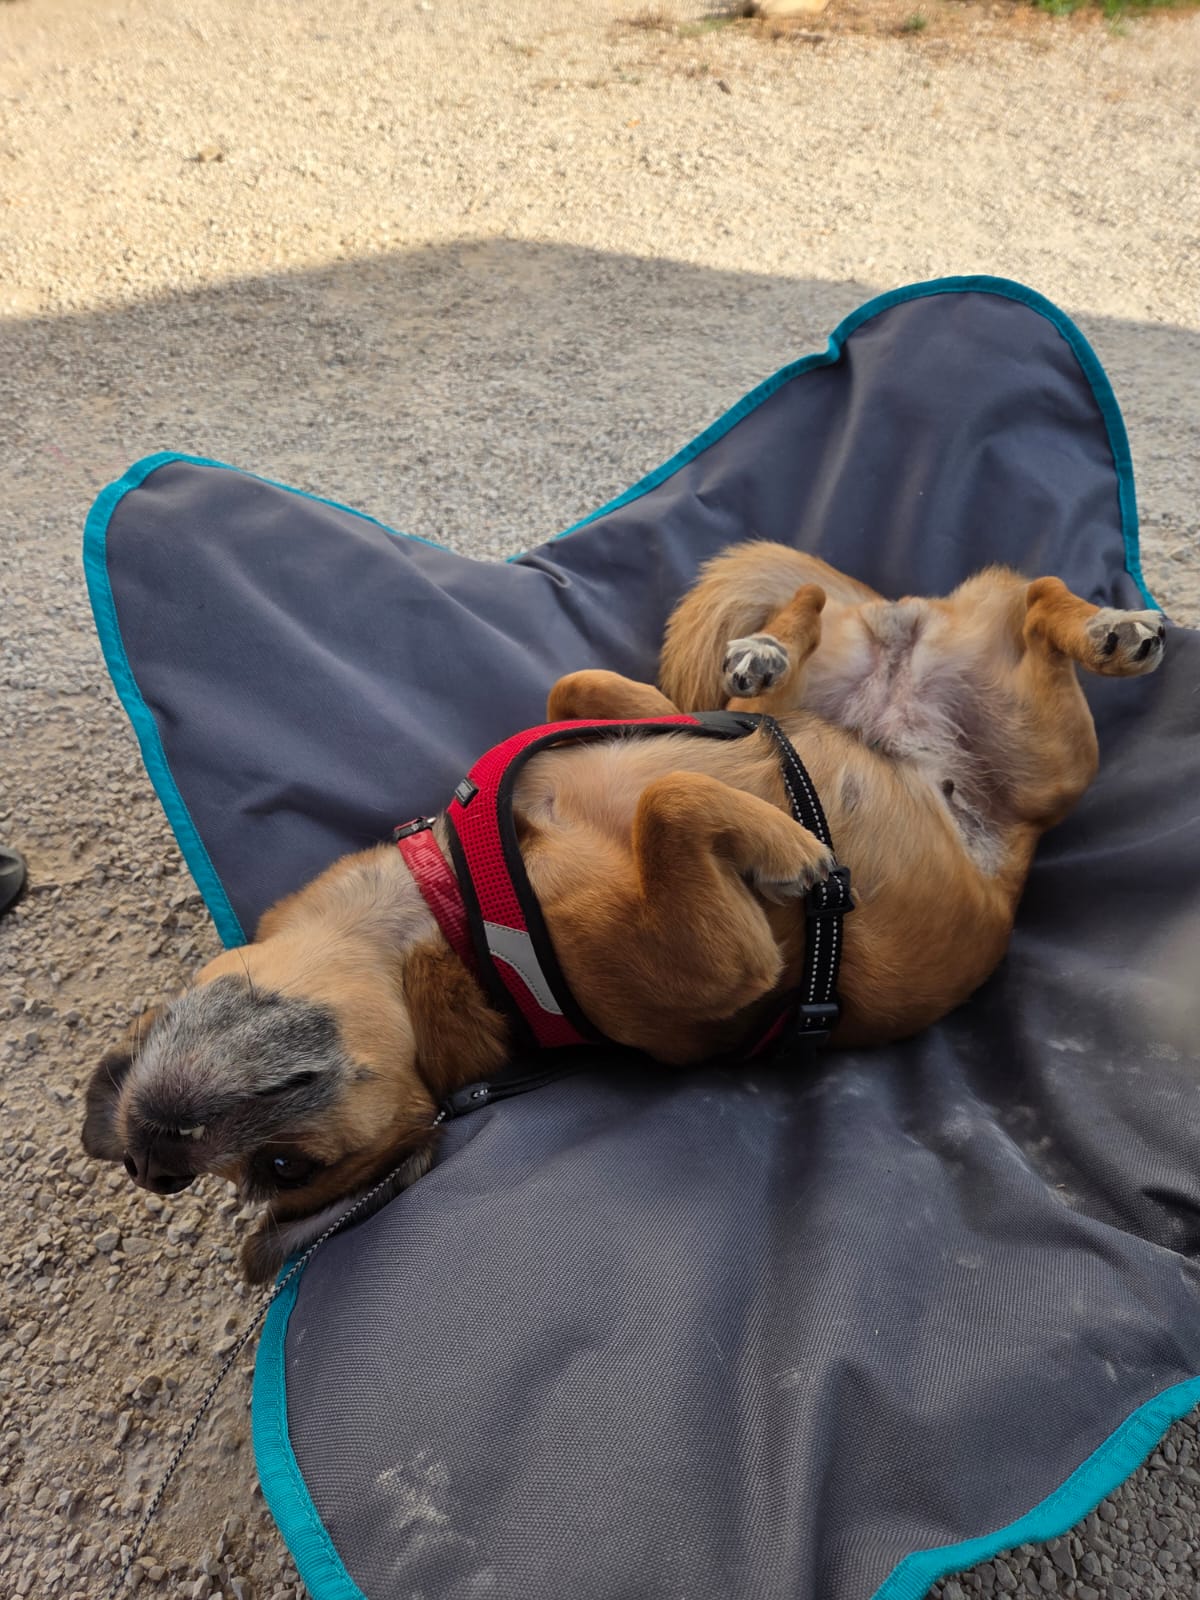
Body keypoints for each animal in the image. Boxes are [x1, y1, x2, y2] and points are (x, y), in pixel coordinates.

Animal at [81, 542, 1166, 1280]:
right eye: (281, 1162)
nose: (159, 1151)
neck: (460, 917)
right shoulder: (714, 961)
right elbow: (671, 802)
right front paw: (787, 846)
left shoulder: (613, 717)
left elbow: (590, 691)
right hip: (1053, 753)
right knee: (1024, 606)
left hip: (980, 715)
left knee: (886, 611)